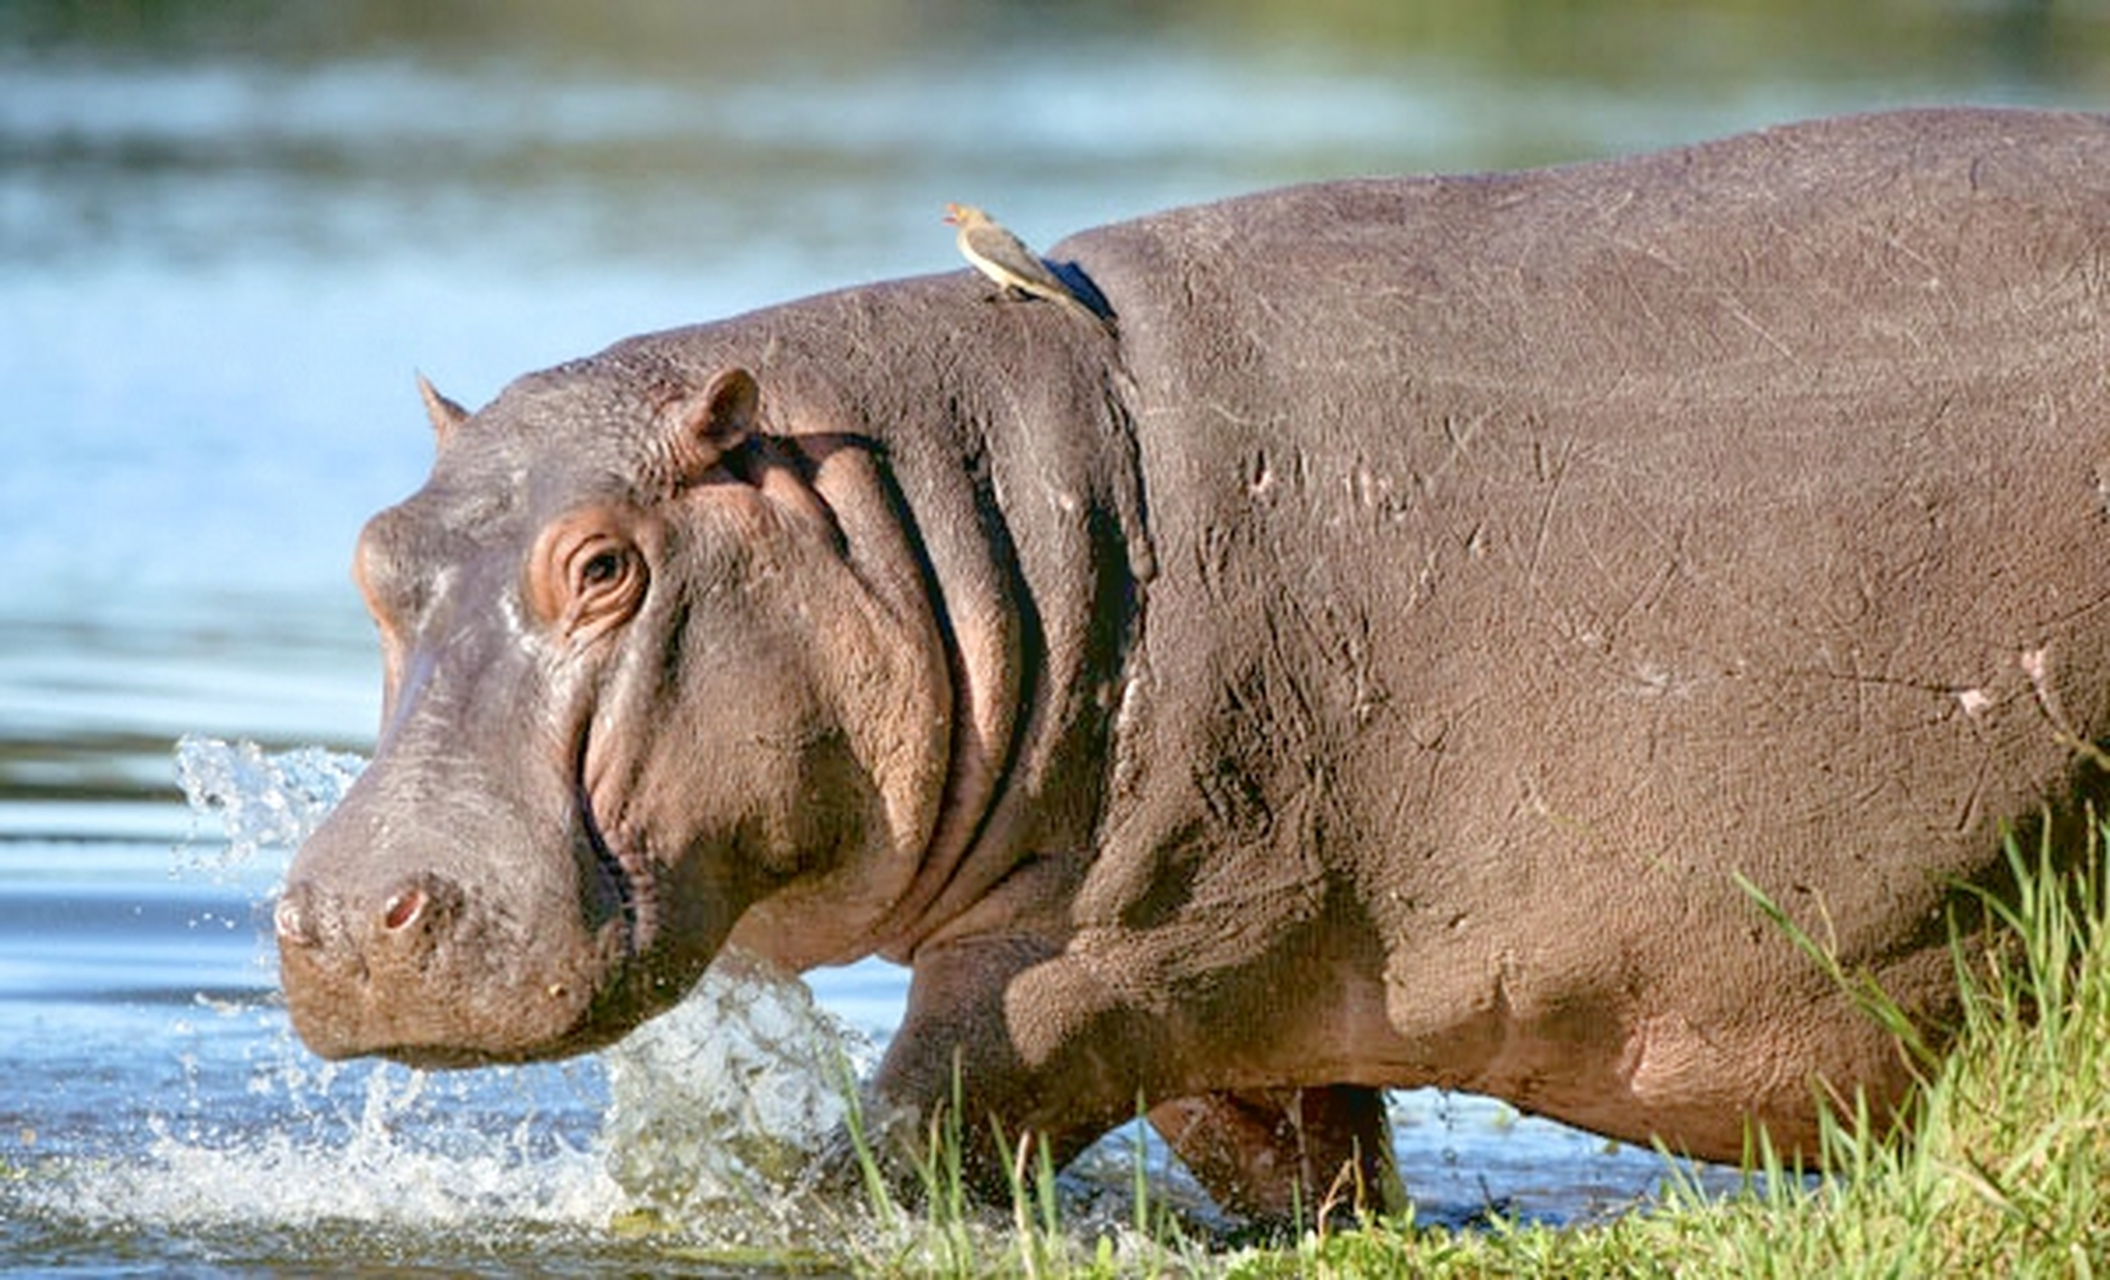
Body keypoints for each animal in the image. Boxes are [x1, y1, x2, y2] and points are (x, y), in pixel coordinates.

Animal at [276, 110, 2110, 1223]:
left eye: (604, 564)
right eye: (372, 555)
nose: (346, 914)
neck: (947, 512)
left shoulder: (1114, 952)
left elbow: (910, 1137)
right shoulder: (1258, 1000)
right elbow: (1297, 1168)